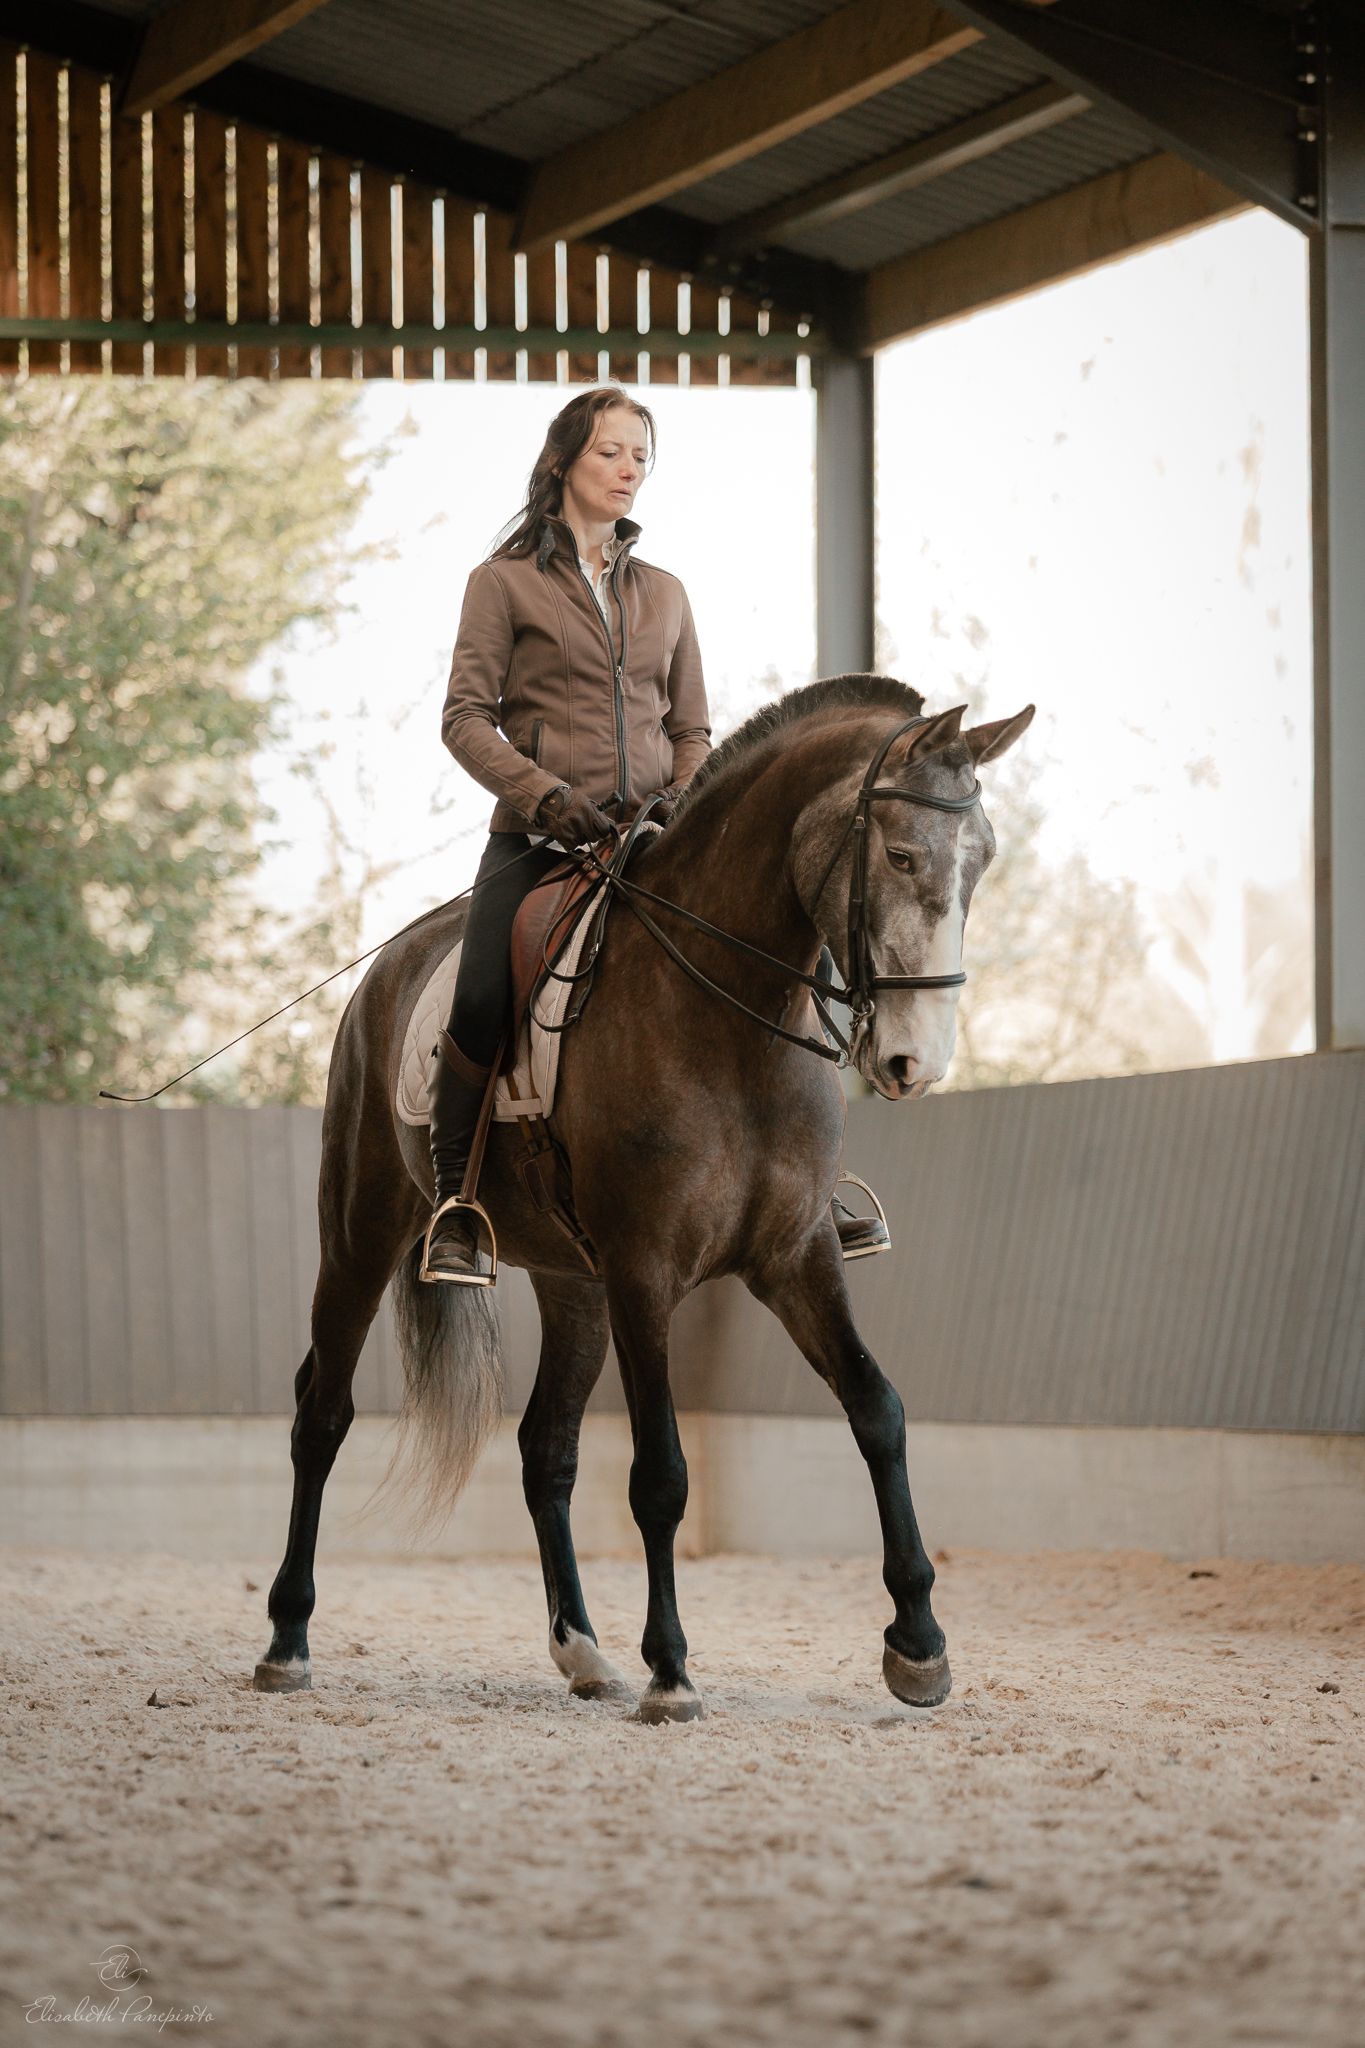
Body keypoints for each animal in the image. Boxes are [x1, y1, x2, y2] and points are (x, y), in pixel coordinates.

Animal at [252, 674, 1034, 1720]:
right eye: (902, 854)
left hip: (571, 1283)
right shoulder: (644, 1271)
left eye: (980, 861)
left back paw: (582, 1653)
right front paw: (671, 1670)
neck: (731, 1020)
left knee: (545, 1447)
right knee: (321, 1416)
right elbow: (660, 1473)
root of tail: (389, 967)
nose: (916, 1062)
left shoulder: (796, 1257)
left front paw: (918, 1644)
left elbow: (878, 1410)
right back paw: (287, 1641)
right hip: (365, 1231)